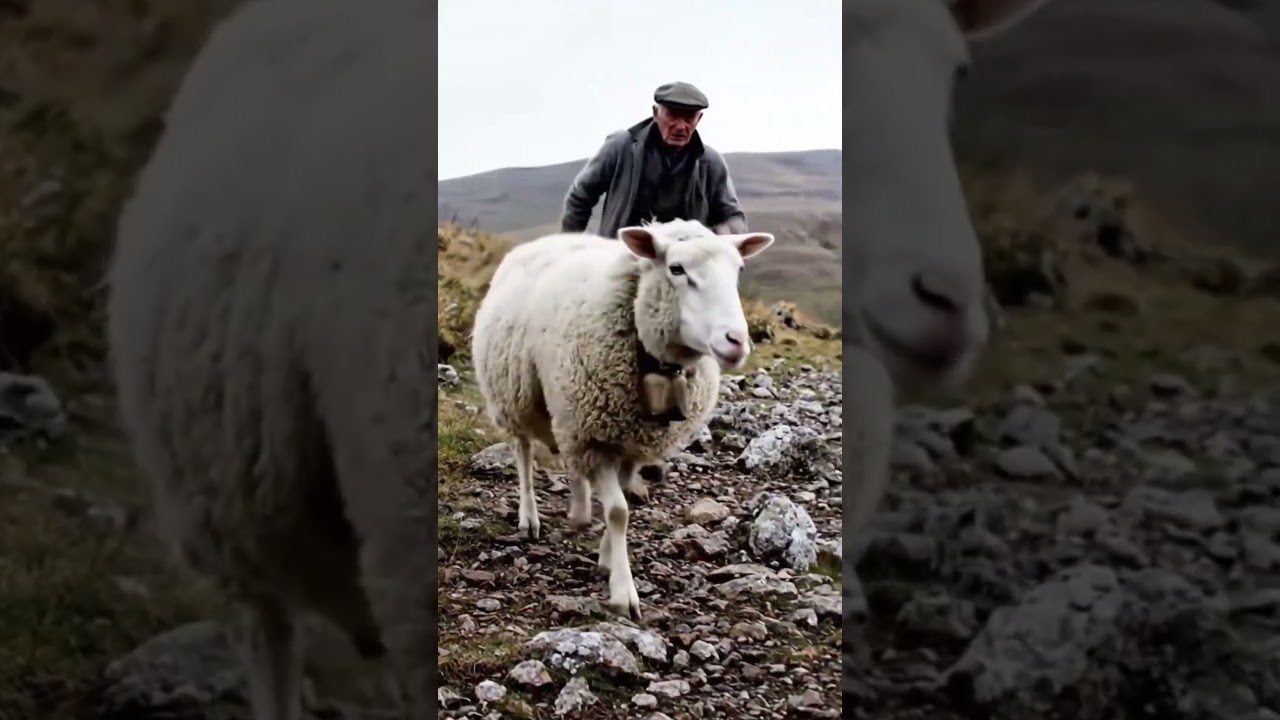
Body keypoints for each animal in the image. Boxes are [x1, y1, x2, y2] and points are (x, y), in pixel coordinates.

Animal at [470, 218, 775, 619]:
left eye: (738, 269)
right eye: (676, 269)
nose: (737, 341)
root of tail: (549, 240)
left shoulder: (631, 441)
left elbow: (624, 498)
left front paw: (605, 557)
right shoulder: (596, 439)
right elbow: (618, 511)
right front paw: (622, 590)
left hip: (567, 414)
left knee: (571, 465)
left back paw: (579, 510)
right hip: (514, 395)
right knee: (522, 453)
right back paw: (529, 517)